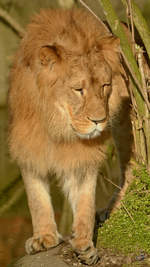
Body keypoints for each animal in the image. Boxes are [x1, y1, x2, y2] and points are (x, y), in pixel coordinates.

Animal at [7, 7, 131, 266]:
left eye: (105, 85)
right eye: (78, 89)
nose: (99, 120)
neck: (58, 127)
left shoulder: (83, 155)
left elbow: (85, 200)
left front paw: (85, 244)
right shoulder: (27, 145)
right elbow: (36, 198)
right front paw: (44, 237)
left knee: (131, 166)